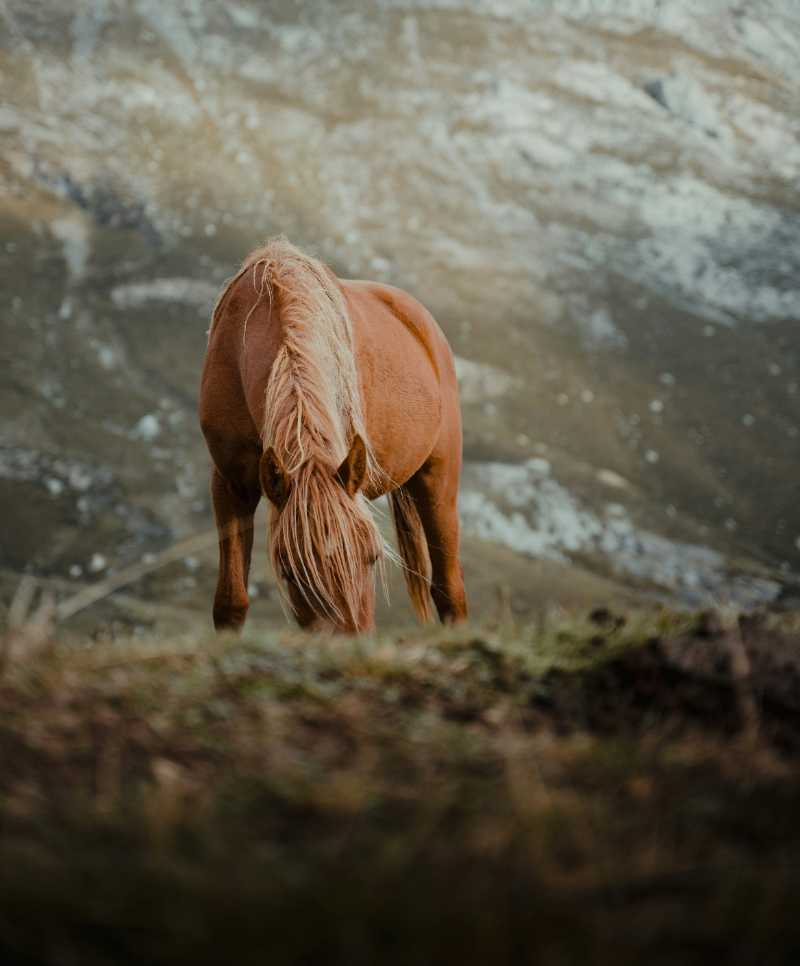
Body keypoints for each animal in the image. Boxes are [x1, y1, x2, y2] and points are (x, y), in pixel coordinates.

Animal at [197, 239, 466, 636]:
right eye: (291, 571)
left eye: (372, 557)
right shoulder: (231, 485)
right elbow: (231, 602)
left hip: (438, 484)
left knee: (450, 591)